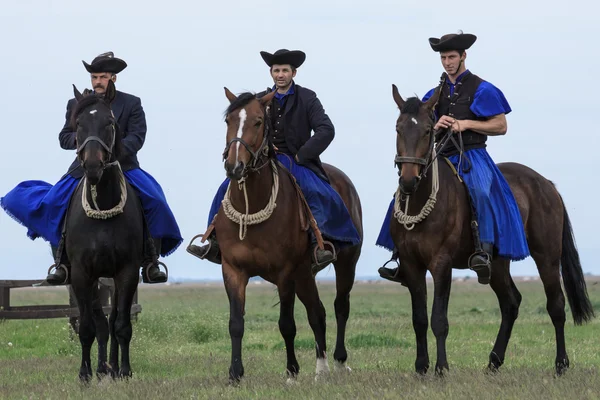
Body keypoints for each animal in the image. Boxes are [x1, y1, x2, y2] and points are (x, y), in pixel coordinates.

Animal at [66, 80, 146, 382]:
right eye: (77, 124)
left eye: (110, 123)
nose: (92, 166)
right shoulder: (81, 274)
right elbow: (89, 326)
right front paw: (85, 373)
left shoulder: (127, 271)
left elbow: (121, 324)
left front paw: (124, 370)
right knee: (100, 322)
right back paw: (101, 367)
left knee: (111, 321)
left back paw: (111, 366)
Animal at [213, 89, 364, 382]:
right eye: (228, 121)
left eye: (259, 121)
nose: (234, 167)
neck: (253, 204)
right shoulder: (233, 270)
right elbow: (236, 323)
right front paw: (235, 373)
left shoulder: (285, 273)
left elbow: (287, 324)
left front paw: (292, 372)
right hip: (305, 274)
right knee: (318, 312)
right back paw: (321, 368)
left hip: (344, 263)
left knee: (339, 306)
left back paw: (338, 362)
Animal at [386, 83, 592, 376]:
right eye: (398, 128)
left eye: (427, 130)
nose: (408, 181)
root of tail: (546, 184)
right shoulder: (411, 264)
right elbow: (419, 319)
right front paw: (421, 367)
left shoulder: (441, 264)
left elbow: (439, 319)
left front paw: (441, 368)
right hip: (497, 263)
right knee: (511, 303)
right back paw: (494, 361)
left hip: (547, 258)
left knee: (556, 306)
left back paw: (561, 364)